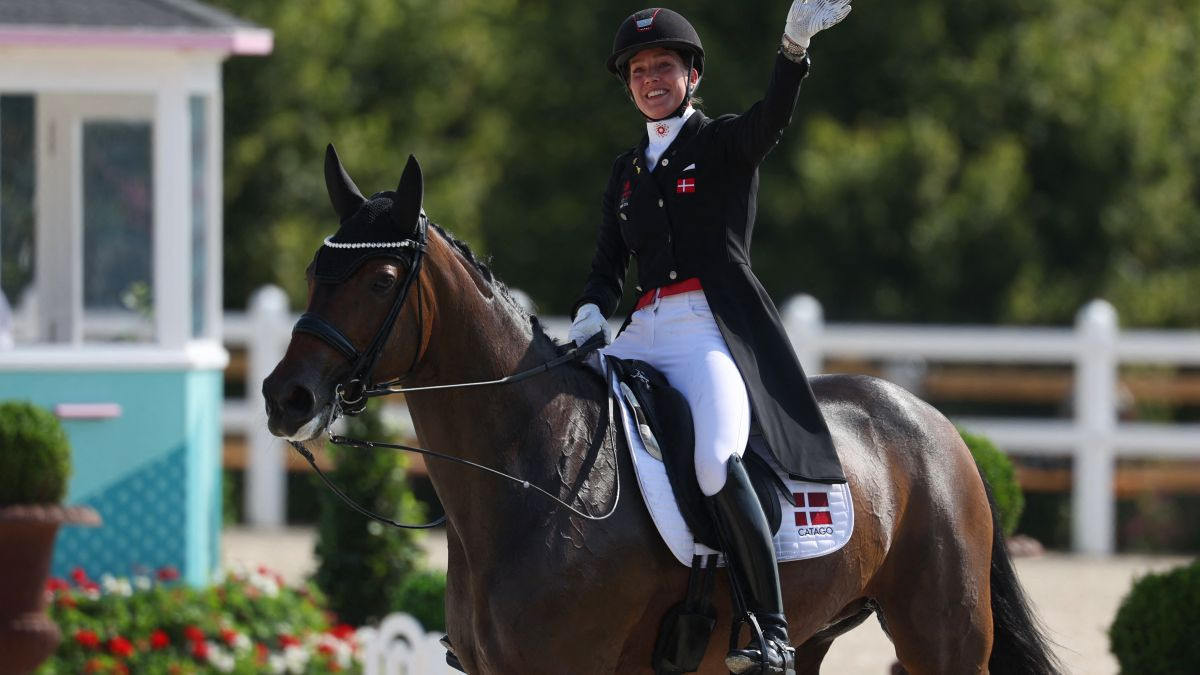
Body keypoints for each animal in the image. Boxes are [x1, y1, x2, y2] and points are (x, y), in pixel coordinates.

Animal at [265, 151, 1060, 672]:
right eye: (312, 272)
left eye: (381, 279)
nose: (285, 397)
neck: (534, 476)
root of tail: (937, 426)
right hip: (817, 634)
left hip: (944, 639)